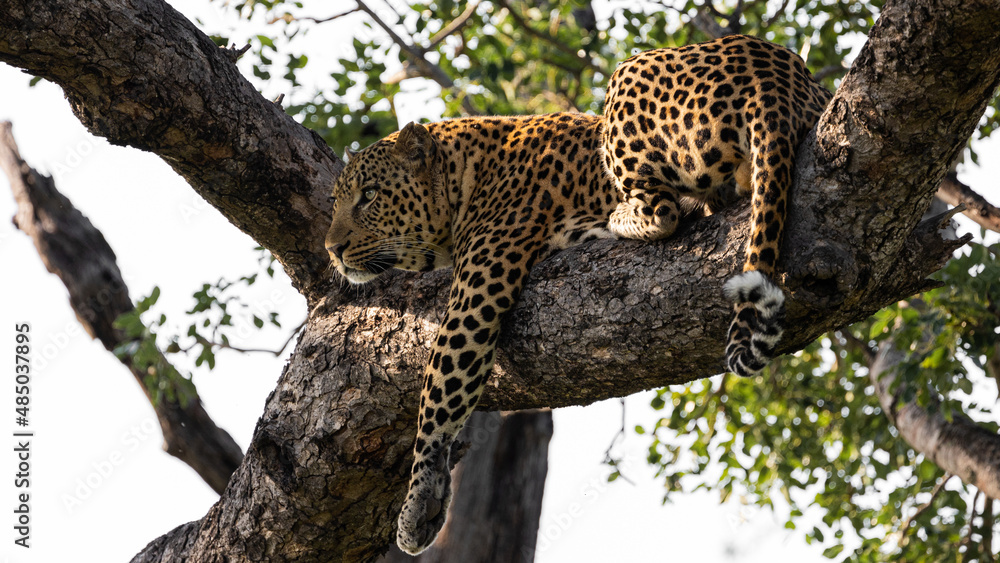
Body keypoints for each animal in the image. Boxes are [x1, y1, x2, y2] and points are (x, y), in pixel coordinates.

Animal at [324, 34, 831, 555]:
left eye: (369, 195)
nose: (331, 249)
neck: (465, 175)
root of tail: (770, 70)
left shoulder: (479, 288)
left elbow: (439, 393)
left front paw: (417, 501)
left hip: (628, 77)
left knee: (664, 209)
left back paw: (617, 220)